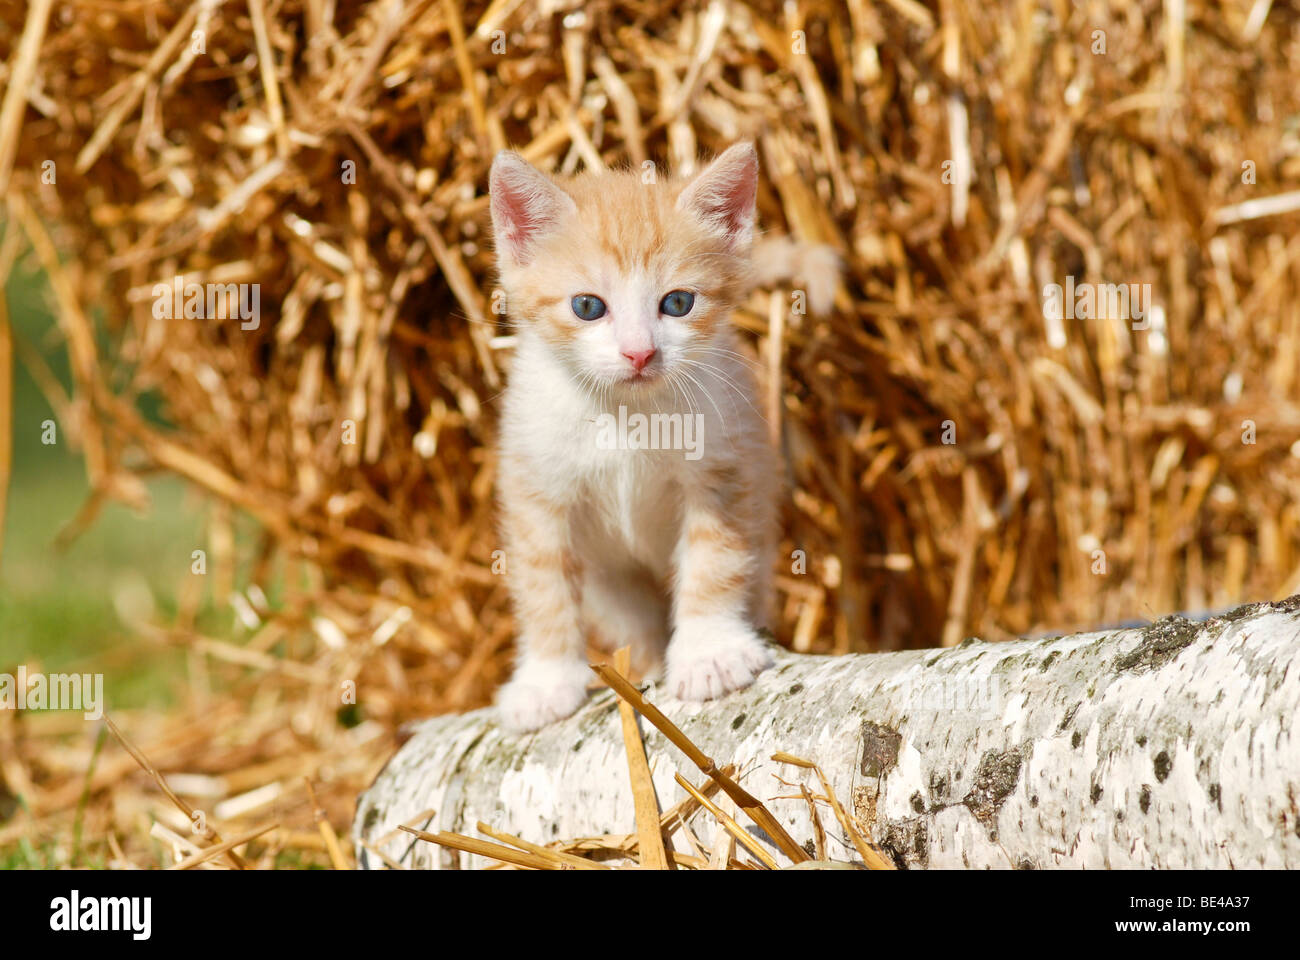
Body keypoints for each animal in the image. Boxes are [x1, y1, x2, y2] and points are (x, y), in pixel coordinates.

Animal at [486, 141, 769, 728]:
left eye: (678, 303)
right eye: (588, 306)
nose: (639, 353)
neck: (627, 416)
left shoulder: (727, 466)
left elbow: (715, 560)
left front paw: (710, 652)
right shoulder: (536, 486)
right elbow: (543, 582)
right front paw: (546, 680)